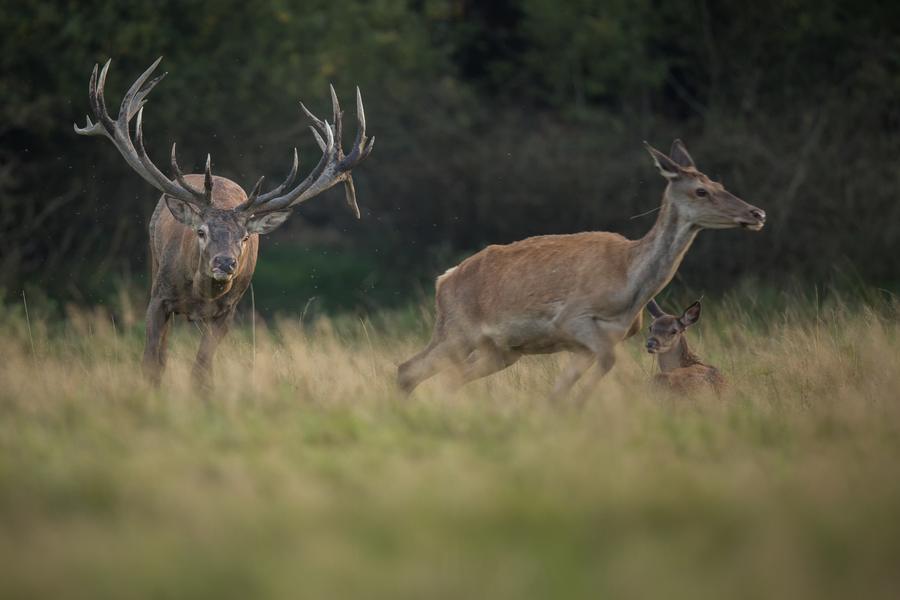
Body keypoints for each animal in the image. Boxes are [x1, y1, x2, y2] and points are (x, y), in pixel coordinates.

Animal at [75, 58, 374, 389]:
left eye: (244, 237)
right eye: (201, 231)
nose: (225, 263)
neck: (199, 293)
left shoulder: (227, 312)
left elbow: (202, 370)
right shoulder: (159, 298)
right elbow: (151, 363)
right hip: (154, 263)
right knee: (161, 352)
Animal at [397, 139, 765, 400]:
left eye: (720, 183)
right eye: (701, 190)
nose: (757, 213)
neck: (628, 286)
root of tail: (443, 280)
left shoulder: (593, 342)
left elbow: (562, 390)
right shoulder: (573, 319)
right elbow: (608, 365)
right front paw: (582, 403)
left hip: (501, 350)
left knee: (449, 377)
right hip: (457, 330)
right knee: (408, 369)